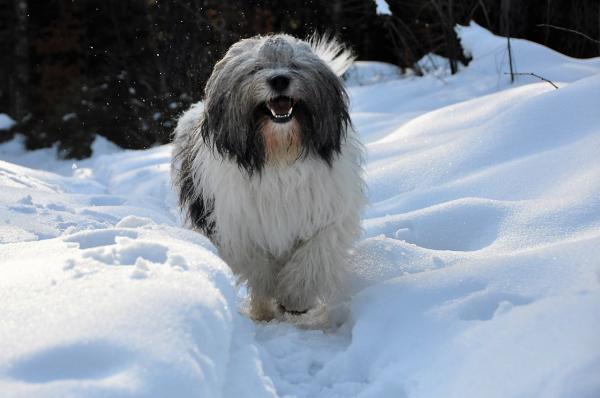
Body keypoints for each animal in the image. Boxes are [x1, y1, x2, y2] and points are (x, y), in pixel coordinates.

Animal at [171, 33, 364, 320]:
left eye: (294, 64)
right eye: (256, 68)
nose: (279, 80)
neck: (279, 155)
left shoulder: (327, 212)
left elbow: (317, 251)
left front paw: (295, 297)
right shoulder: (239, 226)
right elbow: (258, 266)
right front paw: (272, 299)